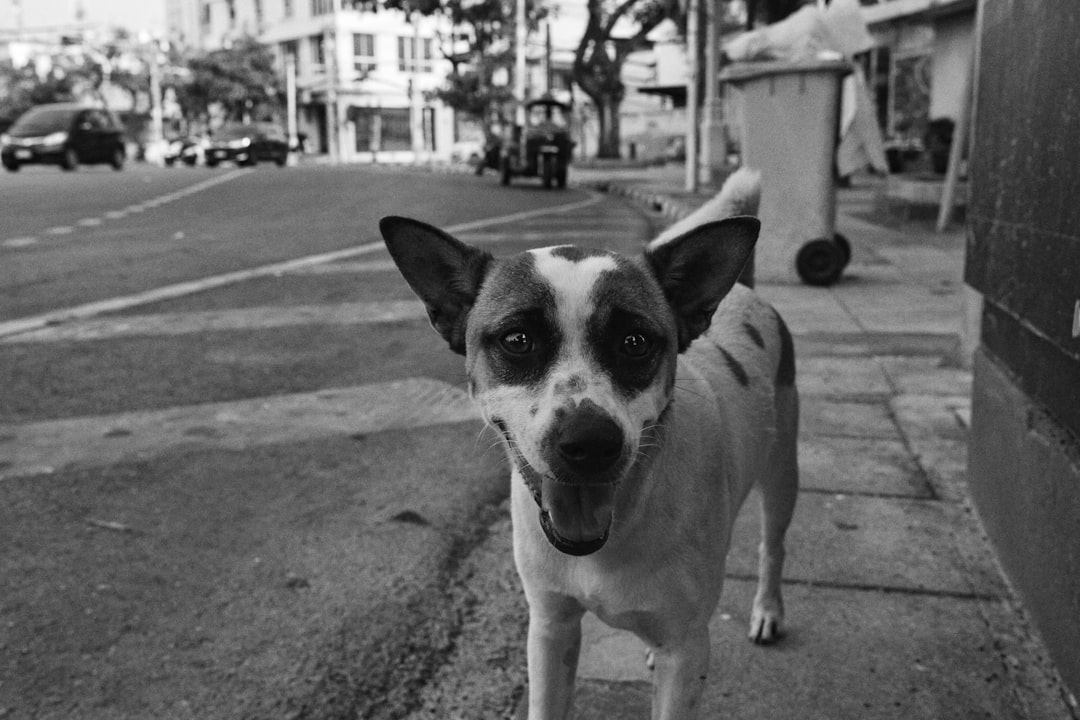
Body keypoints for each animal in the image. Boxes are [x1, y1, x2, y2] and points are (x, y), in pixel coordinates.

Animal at [378, 166, 794, 716]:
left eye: (635, 342)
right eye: (517, 340)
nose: (589, 444)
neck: (619, 523)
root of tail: (744, 291)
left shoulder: (687, 651)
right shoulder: (550, 628)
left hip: (782, 471)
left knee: (773, 544)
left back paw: (768, 609)